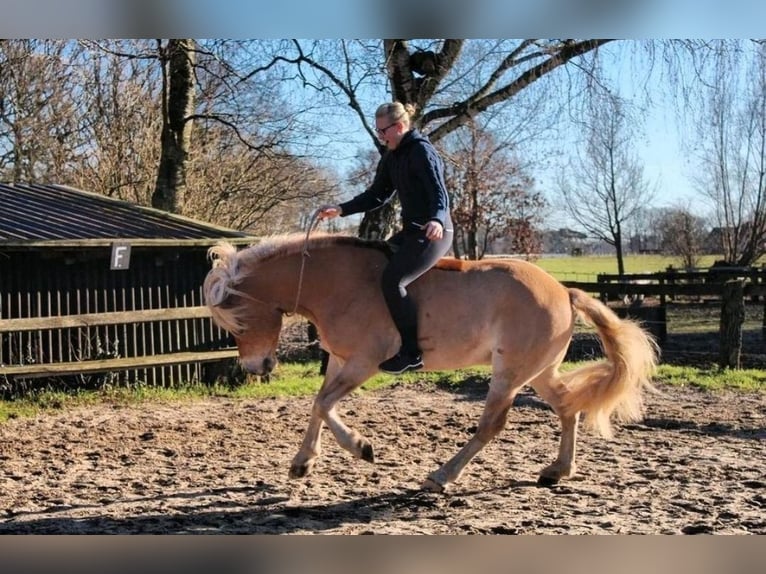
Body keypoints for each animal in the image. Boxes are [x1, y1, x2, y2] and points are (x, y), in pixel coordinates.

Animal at [204, 234, 660, 496]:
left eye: (238, 320)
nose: (256, 368)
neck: (337, 283)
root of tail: (564, 291)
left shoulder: (364, 362)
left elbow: (323, 405)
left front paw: (361, 448)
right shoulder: (338, 360)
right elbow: (319, 405)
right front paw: (302, 463)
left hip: (509, 375)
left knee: (491, 426)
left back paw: (441, 477)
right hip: (539, 373)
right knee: (567, 406)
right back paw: (557, 471)